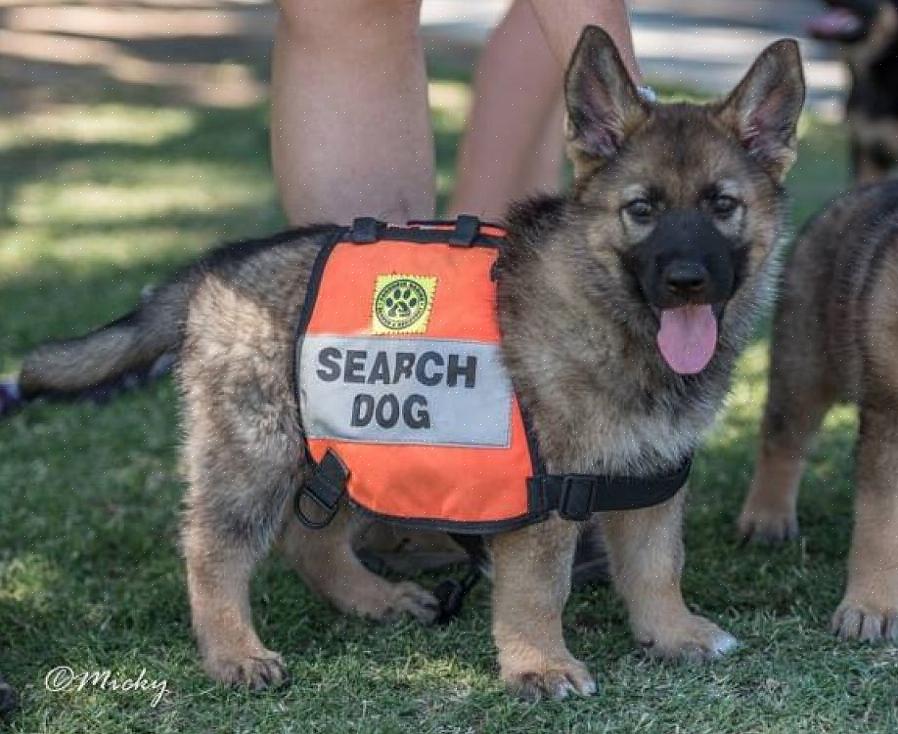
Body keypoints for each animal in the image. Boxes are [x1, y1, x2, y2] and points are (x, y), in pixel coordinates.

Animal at [7, 30, 804, 700]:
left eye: (722, 206)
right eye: (643, 210)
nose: (688, 282)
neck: (610, 312)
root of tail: (218, 266)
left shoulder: (652, 481)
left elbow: (657, 568)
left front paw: (671, 633)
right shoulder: (547, 500)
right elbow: (539, 591)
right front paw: (540, 665)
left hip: (351, 448)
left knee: (311, 539)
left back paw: (373, 599)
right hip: (256, 452)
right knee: (213, 550)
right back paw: (234, 650)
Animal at [736, 183, 896, 644]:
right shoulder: (888, 415)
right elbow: (880, 520)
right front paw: (869, 608)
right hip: (803, 356)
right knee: (783, 439)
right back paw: (767, 518)